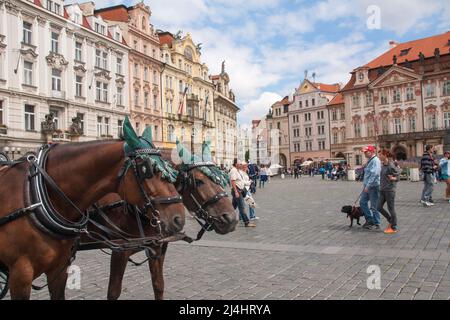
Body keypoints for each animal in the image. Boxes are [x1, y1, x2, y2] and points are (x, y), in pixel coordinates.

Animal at [0, 118, 185, 300]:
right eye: (146, 169)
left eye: (170, 169)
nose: (179, 218)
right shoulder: (21, 275)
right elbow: (114, 291)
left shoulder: (59, 269)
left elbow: (158, 286)